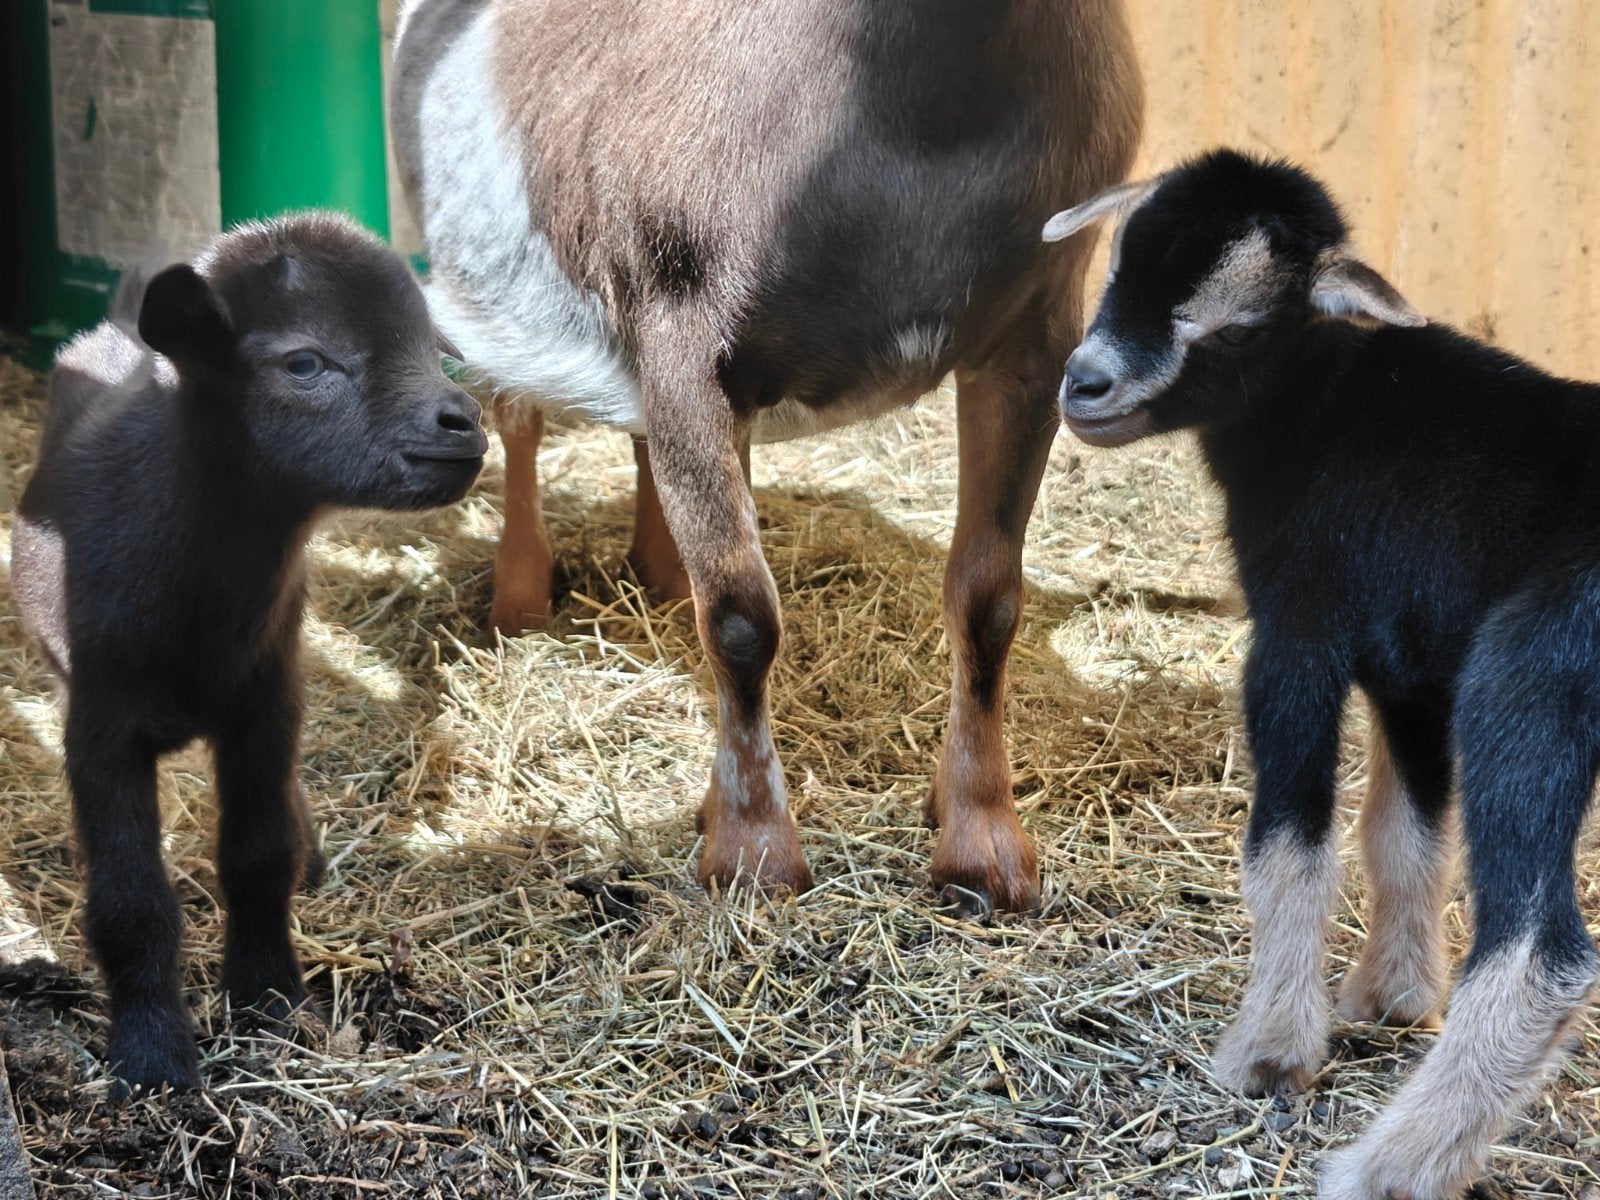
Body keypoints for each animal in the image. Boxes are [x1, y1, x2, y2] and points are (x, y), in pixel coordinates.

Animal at [11, 213, 487, 1092]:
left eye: (432, 346)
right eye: (304, 362)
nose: (462, 422)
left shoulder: (267, 701)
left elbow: (259, 852)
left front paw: (268, 1001)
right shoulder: (99, 725)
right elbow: (130, 897)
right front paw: (153, 1056)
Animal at [390, 0, 1144, 912]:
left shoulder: (1034, 340)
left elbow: (988, 601)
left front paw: (981, 843)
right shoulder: (682, 339)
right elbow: (742, 617)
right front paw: (753, 853)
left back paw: (661, 576)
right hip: (495, 289)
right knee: (518, 417)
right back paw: (521, 599)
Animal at [1044, 148, 1600, 1198]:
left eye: (1239, 324)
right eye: (1119, 263)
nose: (1085, 385)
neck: (1322, 410)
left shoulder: (1300, 631)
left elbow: (1288, 845)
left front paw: (1267, 1052)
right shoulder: (1413, 671)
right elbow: (1405, 833)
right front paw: (1392, 994)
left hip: (1531, 688)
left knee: (1545, 952)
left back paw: (1389, 1167)